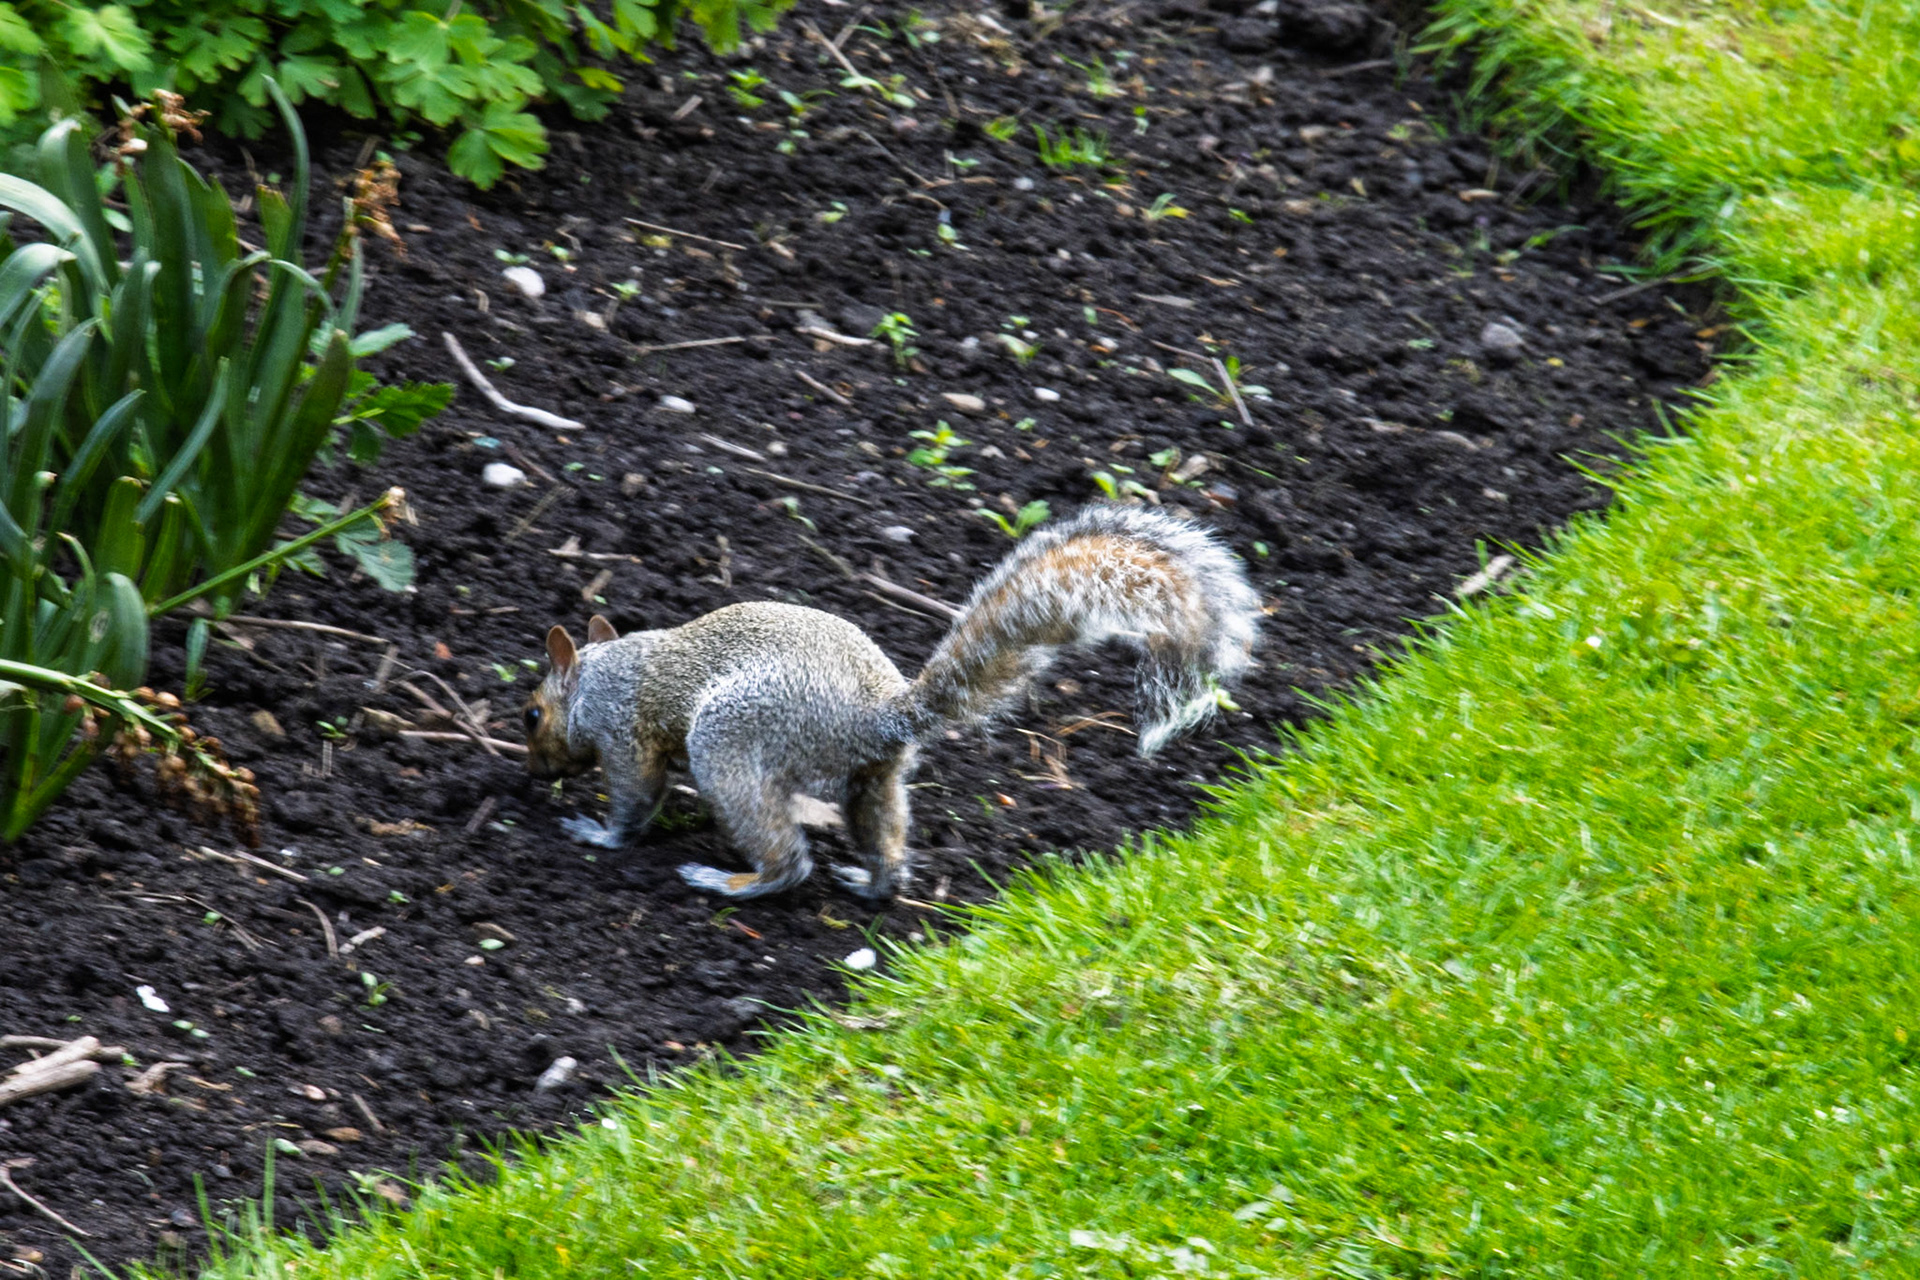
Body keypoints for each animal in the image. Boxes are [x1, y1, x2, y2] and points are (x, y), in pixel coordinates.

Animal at [522, 504, 1261, 901]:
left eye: (531, 714)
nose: (532, 771)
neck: (595, 674)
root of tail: (880, 717)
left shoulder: (622, 732)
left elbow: (634, 798)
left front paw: (598, 833)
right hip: (873, 779)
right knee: (887, 842)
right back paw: (870, 881)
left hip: (730, 740)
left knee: (786, 858)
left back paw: (731, 880)